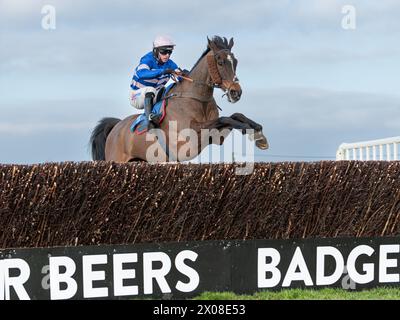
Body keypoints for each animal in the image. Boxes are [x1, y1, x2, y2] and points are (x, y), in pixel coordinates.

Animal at [90, 35, 268, 162]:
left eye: (235, 61)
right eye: (220, 61)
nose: (236, 92)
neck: (198, 99)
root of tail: (116, 127)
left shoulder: (217, 137)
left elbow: (234, 116)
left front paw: (258, 133)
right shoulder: (190, 135)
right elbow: (225, 118)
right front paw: (251, 131)